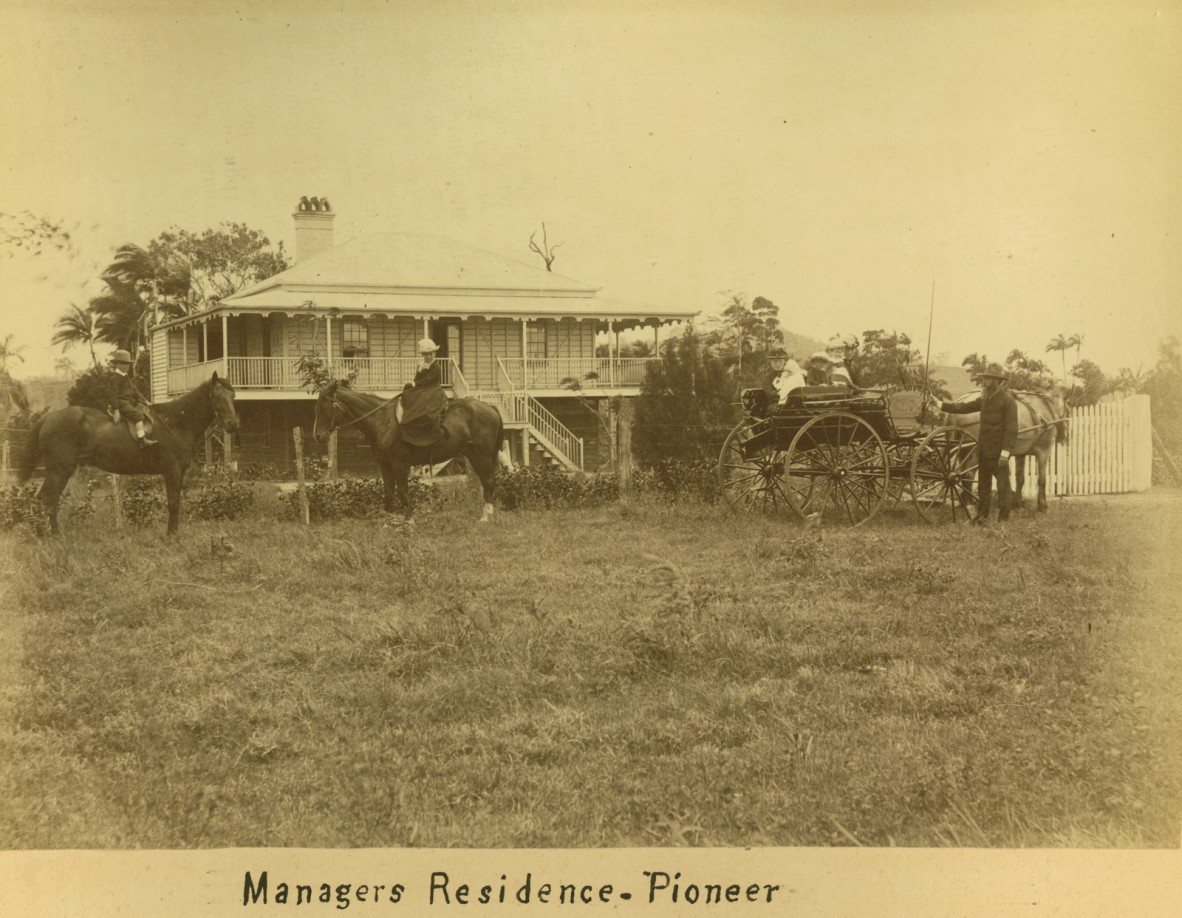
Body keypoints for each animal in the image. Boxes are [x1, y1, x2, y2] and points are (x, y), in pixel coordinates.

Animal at [19, 368, 239, 534]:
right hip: (59, 469)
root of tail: (47, 418)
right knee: (47, 499)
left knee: (49, 499)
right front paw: (171, 535)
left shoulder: (179, 473)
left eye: (233, 396)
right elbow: (173, 503)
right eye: (217, 396)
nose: (233, 424)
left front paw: (174, 533)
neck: (175, 422)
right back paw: (50, 536)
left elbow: (176, 502)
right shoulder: (171, 471)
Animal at [314, 380, 503, 522]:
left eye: (326, 406)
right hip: (475, 455)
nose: (318, 436)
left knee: (488, 482)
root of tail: (490, 407)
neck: (382, 421)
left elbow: (403, 491)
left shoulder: (400, 464)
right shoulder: (385, 465)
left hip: (483, 456)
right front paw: (388, 520)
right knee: (487, 483)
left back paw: (486, 517)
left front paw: (409, 519)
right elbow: (389, 492)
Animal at [940, 387, 1073, 512]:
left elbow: (1020, 479)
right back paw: (969, 505)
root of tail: (960, 400)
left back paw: (965, 502)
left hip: (962, 450)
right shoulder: (1044, 452)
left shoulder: (1021, 454)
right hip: (975, 451)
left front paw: (1017, 504)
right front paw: (1042, 506)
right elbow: (1042, 480)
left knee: (962, 473)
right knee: (968, 474)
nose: (1065, 436)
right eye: (1068, 409)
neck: (1046, 406)